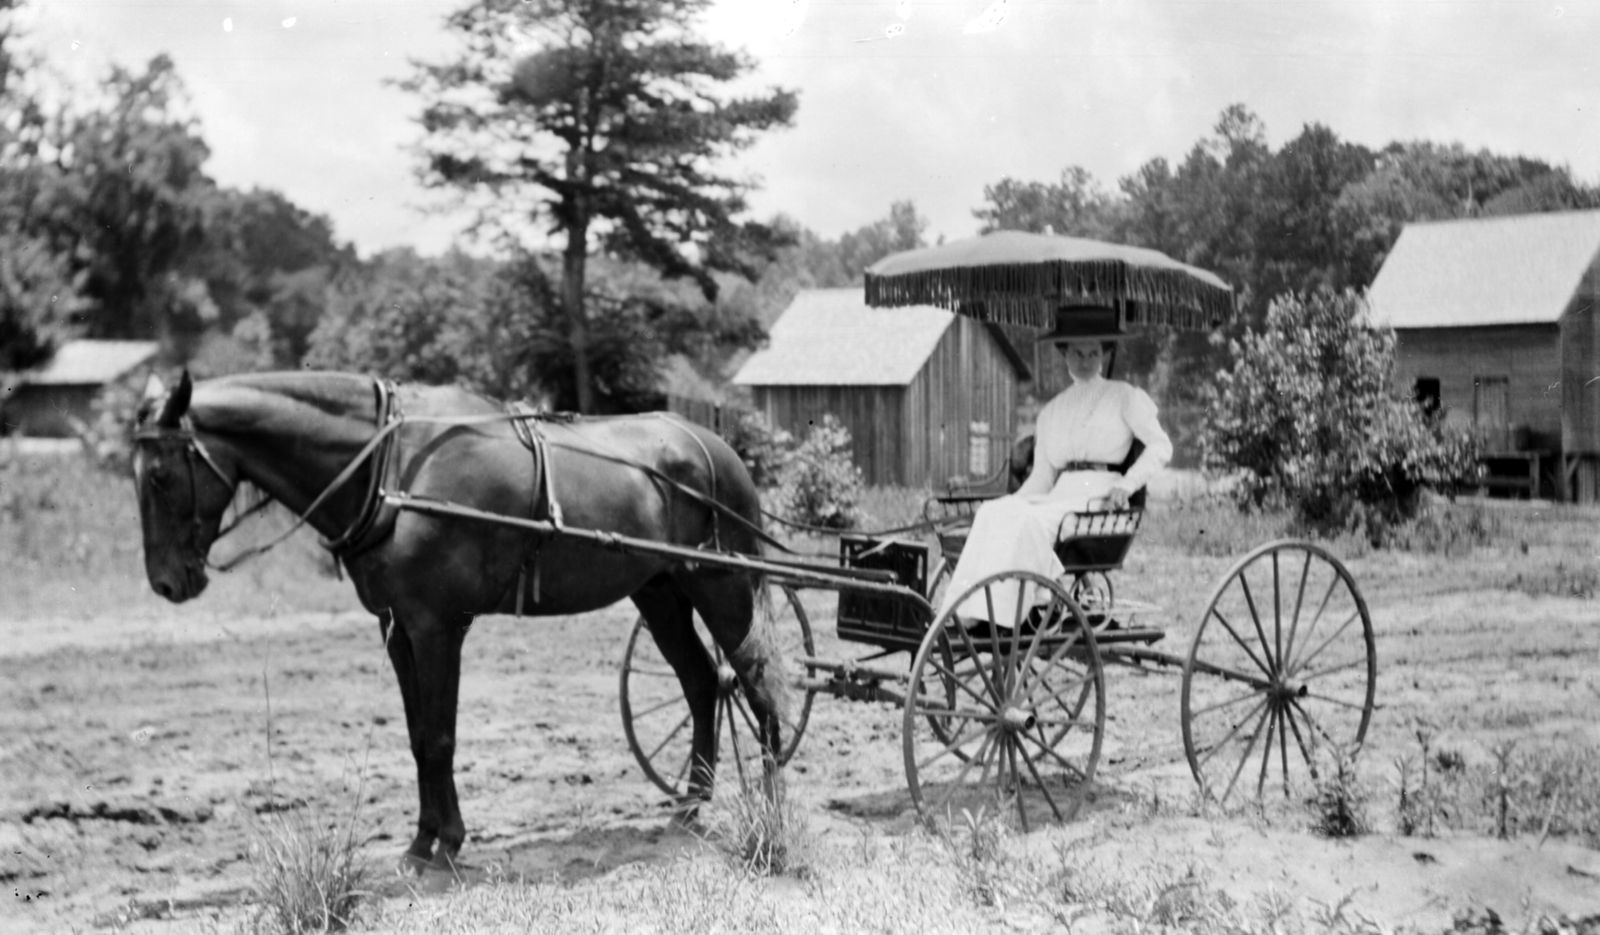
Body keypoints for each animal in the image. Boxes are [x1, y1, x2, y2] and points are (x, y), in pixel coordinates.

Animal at [130, 369, 787, 870]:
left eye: (159, 475)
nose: (165, 582)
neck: (393, 470)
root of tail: (717, 448)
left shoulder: (437, 625)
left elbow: (441, 735)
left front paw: (446, 844)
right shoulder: (396, 628)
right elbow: (419, 737)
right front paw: (422, 840)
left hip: (721, 585)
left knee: (757, 683)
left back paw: (771, 805)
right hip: (659, 591)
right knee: (703, 682)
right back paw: (691, 803)